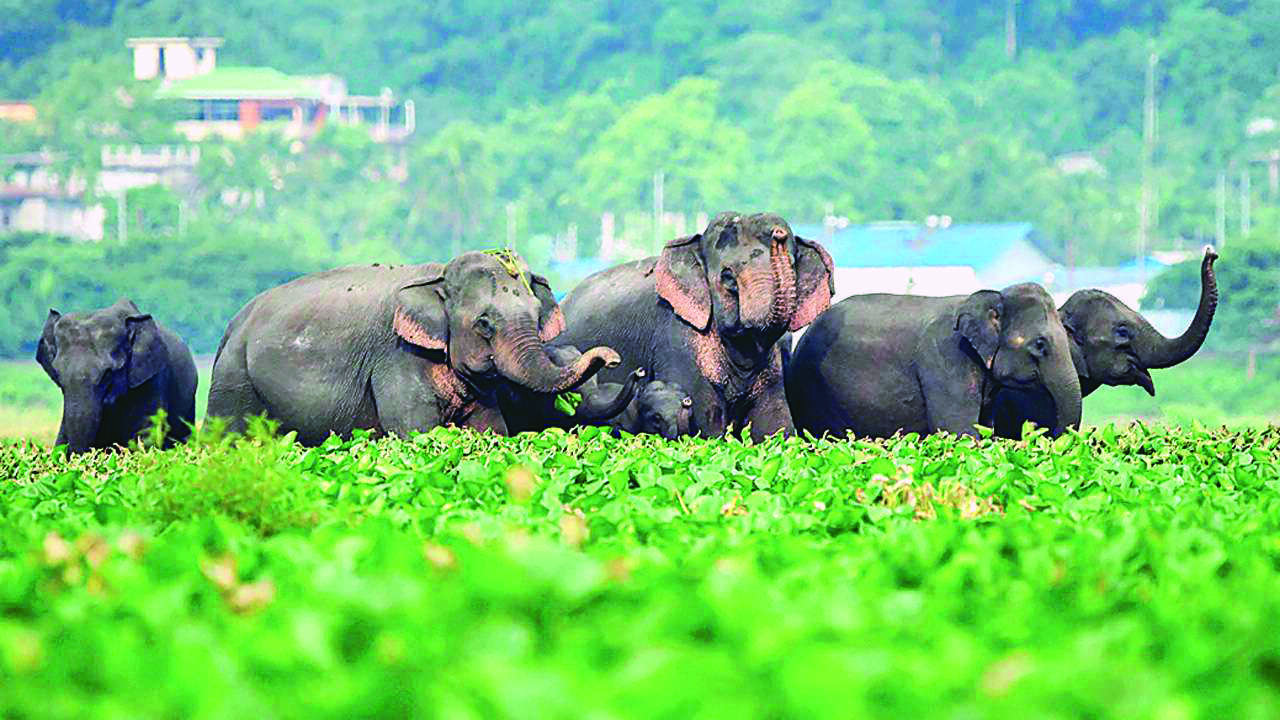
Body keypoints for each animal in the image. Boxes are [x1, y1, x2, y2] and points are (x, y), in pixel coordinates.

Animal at [206, 251, 619, 444]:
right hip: (233, 379)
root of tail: (232, 324)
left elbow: (489, 428)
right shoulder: (395, 358)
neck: (438, 276)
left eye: (536, 315)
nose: (614, 358)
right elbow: (416, 432)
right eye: (484, 323)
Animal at [558, 212, 834, 441]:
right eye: (727, 277)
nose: (779, 234)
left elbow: (775, 429)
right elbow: (706, 428)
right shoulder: (676, 335)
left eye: (793, 268)